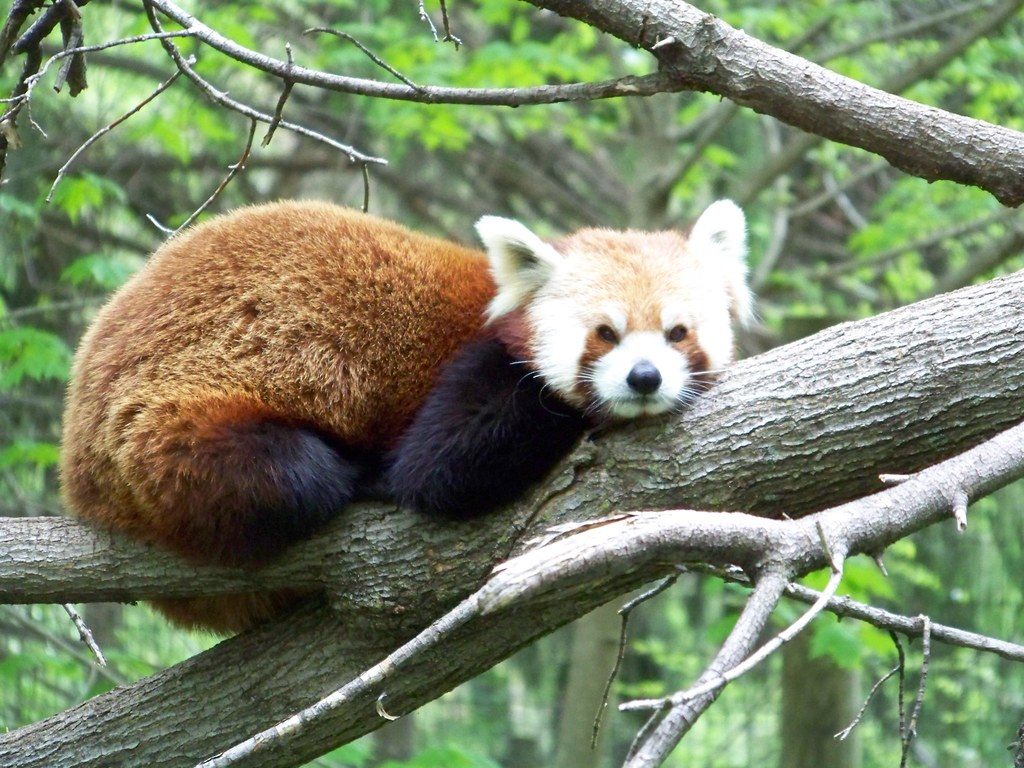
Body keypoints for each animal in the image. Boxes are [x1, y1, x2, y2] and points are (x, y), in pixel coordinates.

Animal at [60, 200, 751, 632]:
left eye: (677, 333)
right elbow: (436, 472)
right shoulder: (477, 370)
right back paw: (354, 477)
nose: (644, 378)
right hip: (169, 418)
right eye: (605, 334)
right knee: (295, 477)